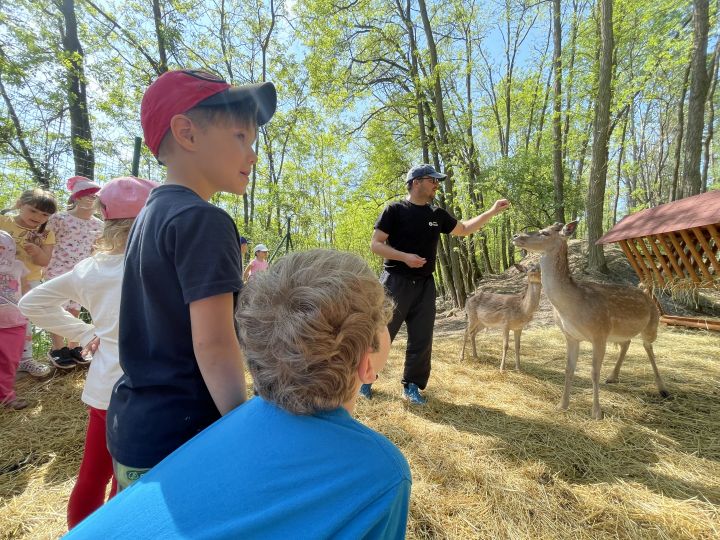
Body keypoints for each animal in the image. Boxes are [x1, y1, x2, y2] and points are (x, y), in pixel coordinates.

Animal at [512, 221, 668, 420]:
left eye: (545, 233)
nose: (516, 236)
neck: (571, 307)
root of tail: (648, 295)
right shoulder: (571, 336)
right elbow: (569, 369)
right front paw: (562, 405)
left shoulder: (599, 333)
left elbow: (594, 372)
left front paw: (596, 413)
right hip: (618, 332)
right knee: (626, 343)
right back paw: (612, 377)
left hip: (651, 326)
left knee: (648, 347)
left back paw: (663, 389)